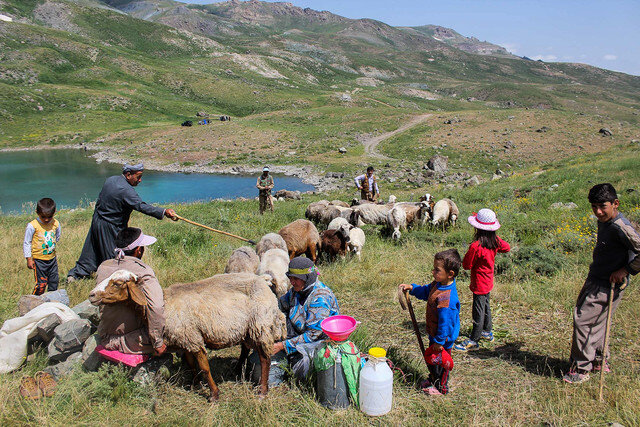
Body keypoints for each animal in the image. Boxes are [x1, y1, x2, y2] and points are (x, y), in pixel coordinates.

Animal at [89, 272, 284, 402]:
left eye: (117, 283)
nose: (91, 295)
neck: (161, 304)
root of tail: (264, 282)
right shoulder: (185, 340)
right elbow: (191, 364)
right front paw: (195, 384)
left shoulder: (193, 339)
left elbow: (204, 368)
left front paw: (214, 395)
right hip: (247, 328)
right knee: (244, 348)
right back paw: (237, 369)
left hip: (261, 324)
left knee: (264, 358)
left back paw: (262, 391)